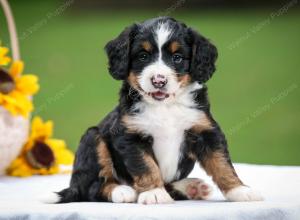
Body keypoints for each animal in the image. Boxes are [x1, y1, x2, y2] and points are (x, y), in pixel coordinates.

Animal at [47, 17, 262, 205]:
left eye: (177, 57)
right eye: (143, 56)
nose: (159, 80)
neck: (165, 107)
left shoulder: (205, 131)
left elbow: (222, 164)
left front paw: (240, 190)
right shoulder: (130, 136)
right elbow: (146, 166)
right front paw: (154, 193)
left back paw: (191, 187)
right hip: (93, 137)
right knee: (92, 189)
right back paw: (122, 191)